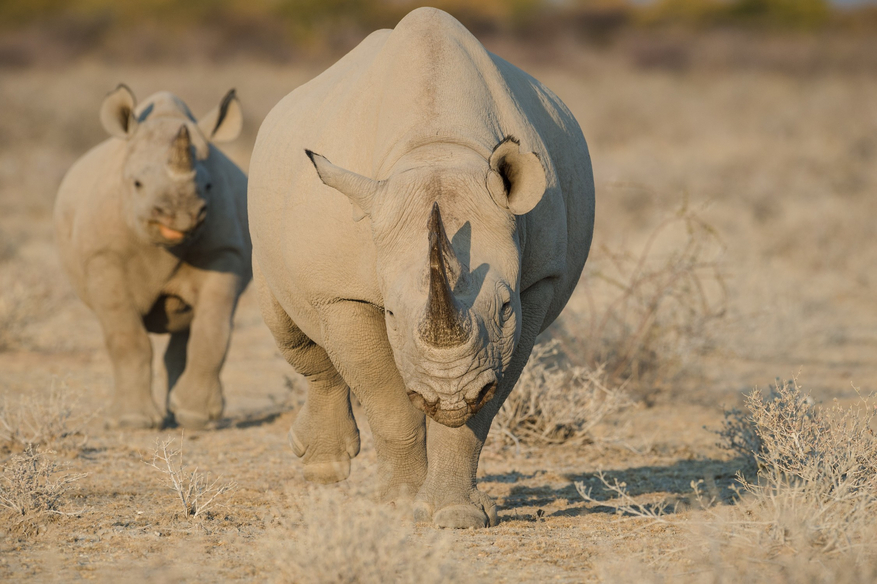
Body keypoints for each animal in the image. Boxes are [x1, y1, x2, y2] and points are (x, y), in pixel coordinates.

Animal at [55, 84, 250, 428]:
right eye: (137, 183)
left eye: (209, 186)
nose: (182, 214)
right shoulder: (104, 256)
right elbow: (127, 338)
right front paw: (133, 421)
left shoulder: (225, 252)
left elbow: (213, 329)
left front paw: (197, 417)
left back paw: (182, 415)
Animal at [248, 6, 596, 528]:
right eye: (391, 314)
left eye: (505, 309)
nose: (447, 397)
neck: (437, 149)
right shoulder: (344, 292)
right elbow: (386, 399)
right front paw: (397, 507)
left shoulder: (536, 284)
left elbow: (482, 409)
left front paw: (456, 515)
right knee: (292, 329)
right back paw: (324, 470)